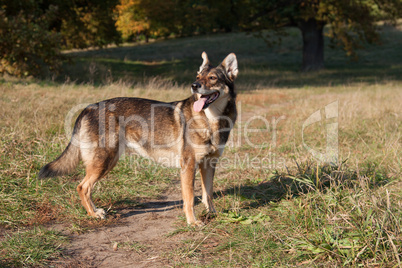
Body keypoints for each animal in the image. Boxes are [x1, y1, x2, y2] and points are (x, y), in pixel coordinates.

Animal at [38, 51, 237, 225]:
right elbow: (189, 199)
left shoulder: (209, 164)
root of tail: (89, 107)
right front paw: (193, 222)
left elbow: (208, 195)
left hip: (108, 162)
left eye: (212, 78)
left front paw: (213, 215)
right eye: (198, 75)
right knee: (82, 187)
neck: (211, 120)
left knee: (84, 187)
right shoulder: (188, 166)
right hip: (104, 163)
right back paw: (94, 214)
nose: (194, 85)